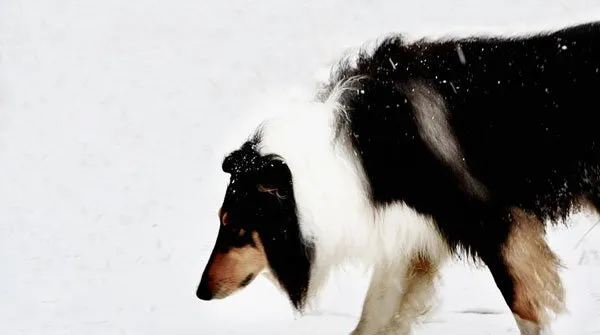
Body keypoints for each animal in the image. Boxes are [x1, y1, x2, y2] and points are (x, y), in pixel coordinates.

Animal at [197, 21, 600, 335]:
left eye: (235, 227)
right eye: (221, 221)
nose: (200, 293)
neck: (356, 154)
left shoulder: (497, 226)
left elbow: (527, 308)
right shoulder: (414, 238)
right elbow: (372, 316)